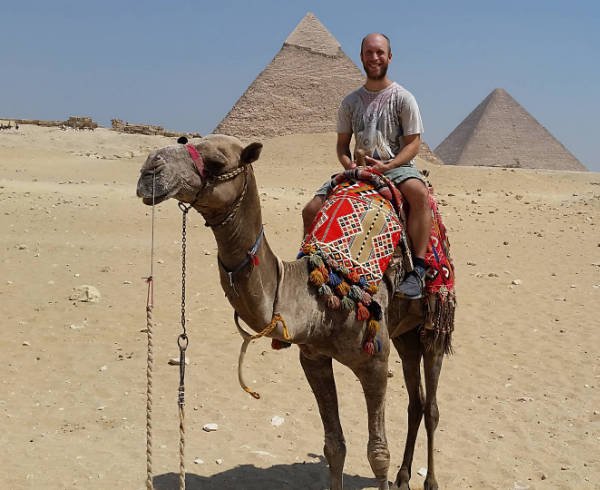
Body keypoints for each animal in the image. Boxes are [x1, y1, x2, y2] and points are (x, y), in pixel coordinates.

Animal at [137, 134, 450, 490]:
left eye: (216, 162)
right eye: (185, 140)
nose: (150, 168)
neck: (320, 296)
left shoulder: (374, 361)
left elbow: (378, 453)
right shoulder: (313, 358)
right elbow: (334, 446)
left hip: (433, 323)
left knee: (432, 406)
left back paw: (430, 481)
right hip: (403, 333)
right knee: (416, 402)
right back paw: (403, 476)